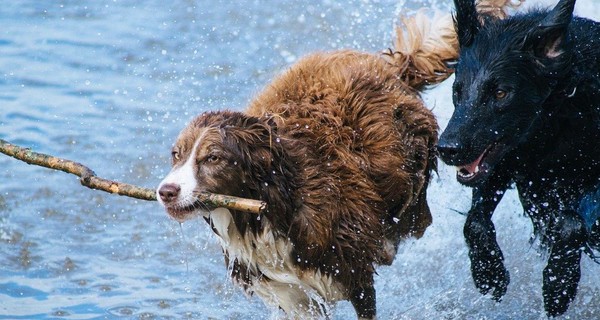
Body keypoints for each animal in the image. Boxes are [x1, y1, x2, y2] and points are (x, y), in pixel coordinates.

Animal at [436, 0, 600, 316]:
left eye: (500, 92)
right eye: (457, 90)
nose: (447, 148)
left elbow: (572, 224)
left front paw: (558, 284)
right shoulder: (502, 164)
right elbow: (474, 222)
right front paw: (489, 274)